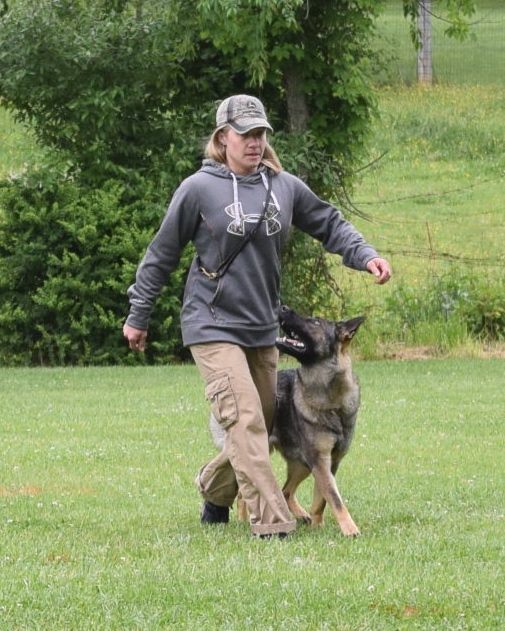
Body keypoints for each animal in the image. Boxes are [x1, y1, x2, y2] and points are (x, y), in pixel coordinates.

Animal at [210, 305, 364, 536]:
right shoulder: (319, 461)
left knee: (285, 492)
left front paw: (318, 526)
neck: (329, 397)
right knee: (244, 492)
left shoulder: (329, 463)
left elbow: (322, 500)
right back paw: (244, 520)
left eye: (315, 322)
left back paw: (302, 516)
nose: (282, 308)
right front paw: (350, 529)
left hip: (302, 464)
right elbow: (335, 499)